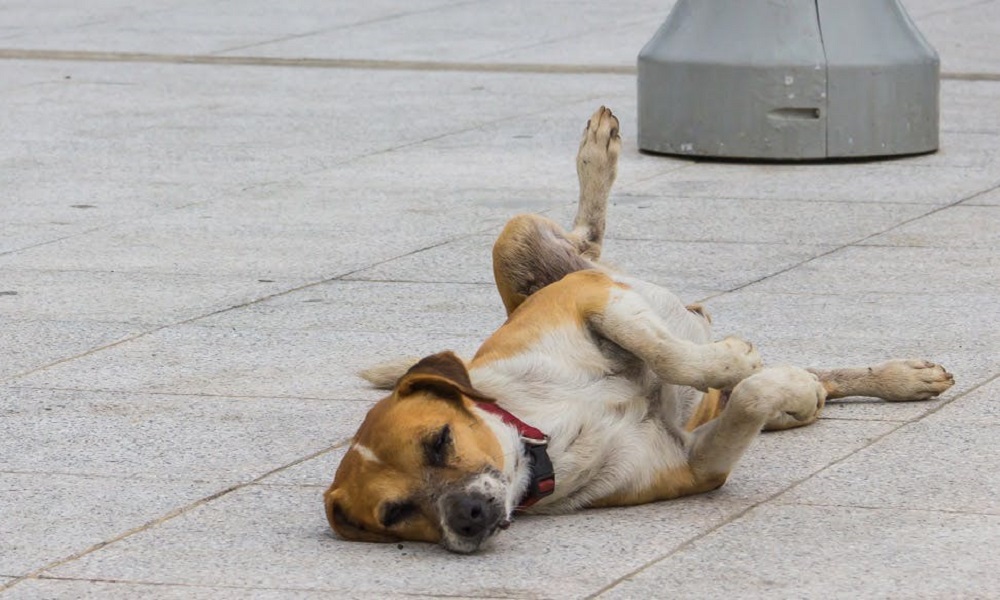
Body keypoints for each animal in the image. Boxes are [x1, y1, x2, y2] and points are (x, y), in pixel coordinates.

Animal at [324, 106, 956, 552]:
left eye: (440, 441)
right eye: (395, 514)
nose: (468, 518)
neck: (544, 437)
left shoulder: (594, 301)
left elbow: (665, 352)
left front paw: (731, 358)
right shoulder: (698, 463)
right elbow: (749, 397)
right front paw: (771, 382)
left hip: (523, 239)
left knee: (587, 240)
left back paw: (597, 152)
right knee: (811, 384)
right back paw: (834, 386)